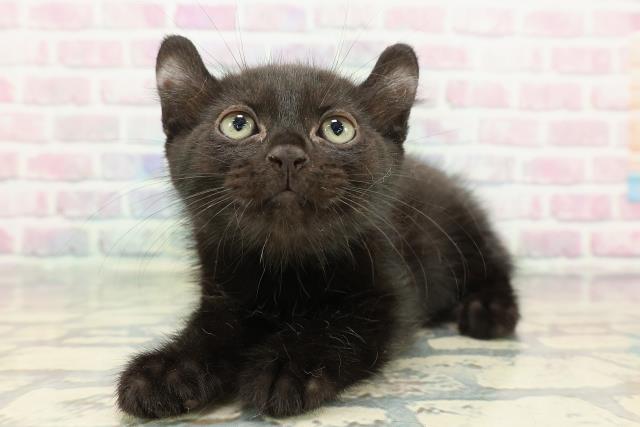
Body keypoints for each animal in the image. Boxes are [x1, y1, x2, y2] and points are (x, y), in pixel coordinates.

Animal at [116, 35, 519, 419]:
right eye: (238, 124)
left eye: (337, 129)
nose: (287, 154)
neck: (285, 266)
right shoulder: (223, 294)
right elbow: (211, 332)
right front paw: (167, 371)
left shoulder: (391, 295)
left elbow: (340, 326)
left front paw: (286, 366)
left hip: (463, 228)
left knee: (494, 266)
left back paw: (488, 310)